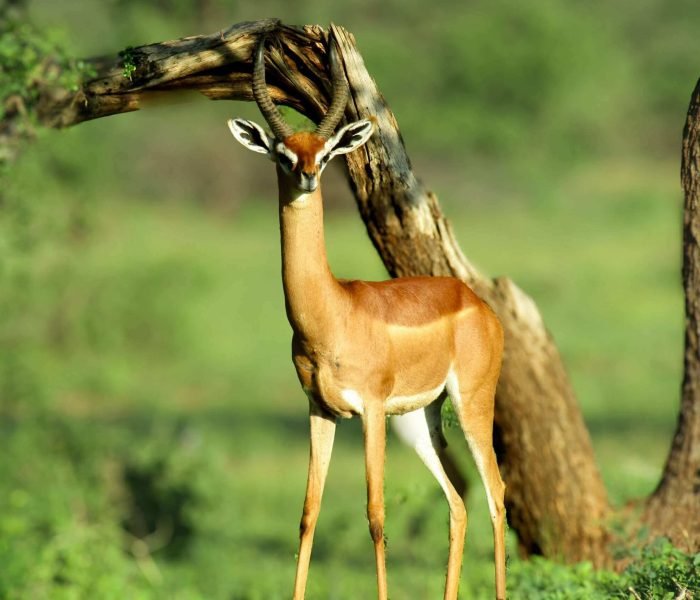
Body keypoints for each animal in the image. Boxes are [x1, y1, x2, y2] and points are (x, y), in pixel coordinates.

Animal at [227, 35, 507, 600]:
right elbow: (308, 514)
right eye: (283, 152)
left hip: (469, 406)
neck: (330, 314)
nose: (308, 176)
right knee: (459, 503)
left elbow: (376, 515)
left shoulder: (371, 411)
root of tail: (473, 300)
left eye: (326, 151)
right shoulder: (320, 410)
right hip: (420, 422)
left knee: (497, 494)